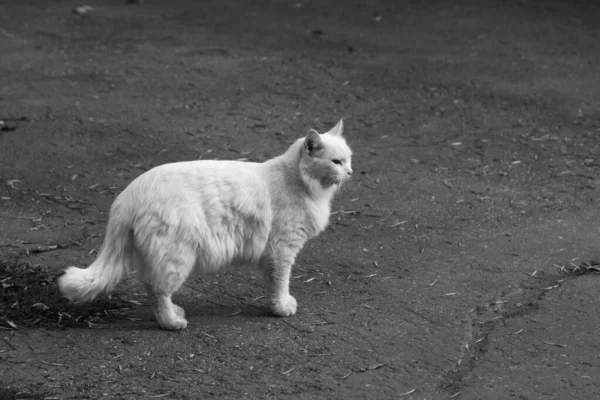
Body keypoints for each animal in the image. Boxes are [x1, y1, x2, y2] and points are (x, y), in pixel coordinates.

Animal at [58, 119, 352, 332]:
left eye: (348, 159)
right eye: (335, 162)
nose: (349, 173)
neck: (302, 182)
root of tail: (128, 194)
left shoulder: (275, 253)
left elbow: (273, 282)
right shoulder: (282, 251)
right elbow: (281, 283)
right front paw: (281, 308)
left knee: (151, 287)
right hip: (176, 256)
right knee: (157, 291)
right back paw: (172, 322)